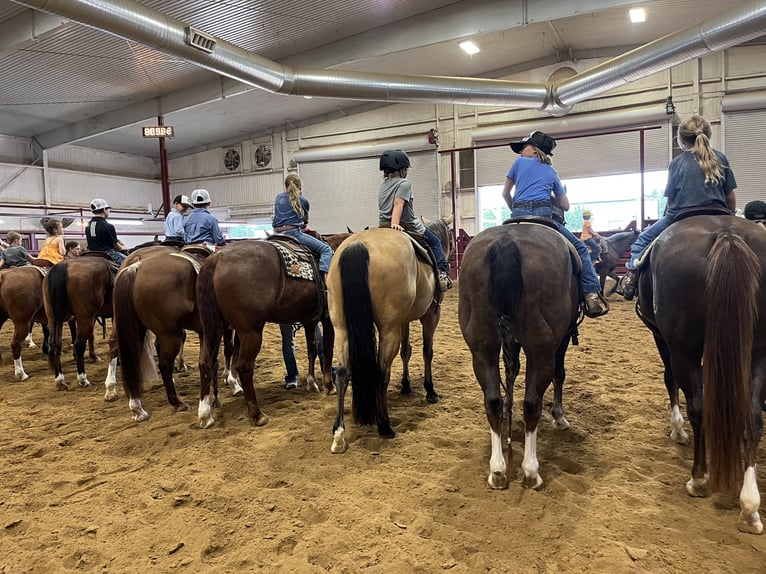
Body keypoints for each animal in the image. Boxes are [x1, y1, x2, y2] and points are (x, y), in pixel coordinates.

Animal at [111, 248, 242, 424]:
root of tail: (135, 267)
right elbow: (230, 351)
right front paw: (233, 383)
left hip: (137, 330)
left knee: (126, 357)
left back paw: (136, 407)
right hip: (170, 336)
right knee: (164, 365)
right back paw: (177, 403)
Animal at [196, 236, 334, 430]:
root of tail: (215, 260)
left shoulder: (310, 321)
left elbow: (312, 350)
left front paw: (312, 383)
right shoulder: (328, 319)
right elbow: (327, 349)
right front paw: (329, 386)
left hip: (211, 330)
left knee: (205, 363)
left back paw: (205, 414)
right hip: (250, 333)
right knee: (244, 367)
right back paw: (257, 415)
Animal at [328, 216, 452, 454]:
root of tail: (357, 245)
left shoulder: (403, 321)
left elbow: (407, 351)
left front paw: (406, 385)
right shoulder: (431, 315)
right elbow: (427, 351)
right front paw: (430, 390)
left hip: (341, 328)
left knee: (342, 372)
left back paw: (339, 434)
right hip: (388, 329)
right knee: (381, 371)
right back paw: (384, 425)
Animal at [456, 220, 584, 490]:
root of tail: (506, 242)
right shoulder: (562, 339)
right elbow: (560, 374)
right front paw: (559, 417)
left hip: (482, 349)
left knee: (492, 400)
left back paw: (498, 471)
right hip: (541, 351)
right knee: (532, 403)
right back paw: (531, 472)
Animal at [636, 215, 766, 536]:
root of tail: (727, 234)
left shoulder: (663, 338)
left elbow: (669, 379)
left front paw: (677, 429)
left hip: (685, 348)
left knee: (700, 406)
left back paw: (699, 478)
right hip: (757, 351)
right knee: (753, 417)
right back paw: (750, 506)